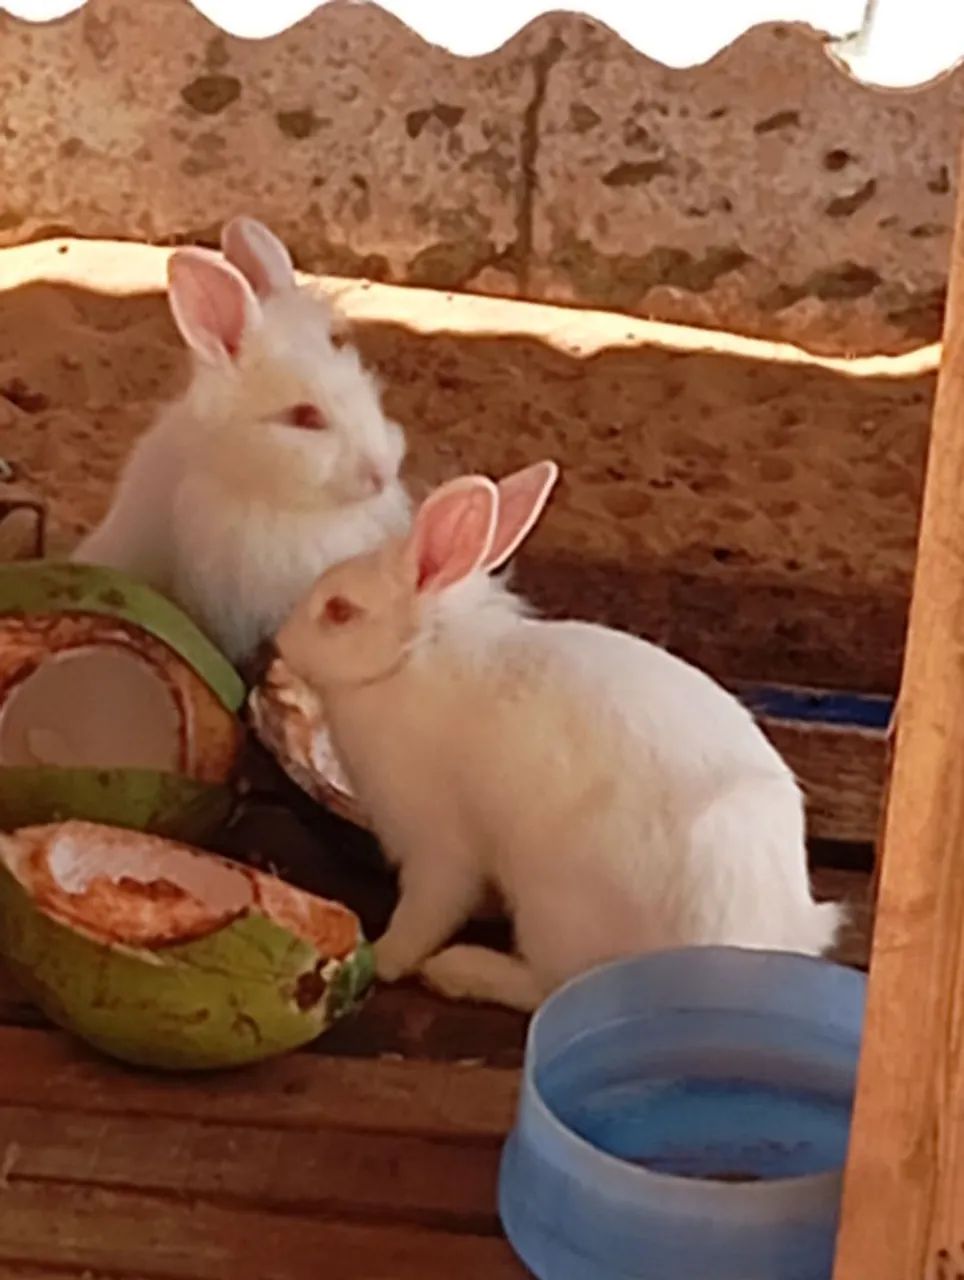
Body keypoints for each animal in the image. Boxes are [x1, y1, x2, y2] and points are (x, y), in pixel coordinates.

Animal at [274, 462, 842, 1012]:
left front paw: (383, 956)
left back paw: (461, 970)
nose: (279, 640)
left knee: (550, 985)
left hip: (553, 906)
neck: (406, 659)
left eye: (339, 611)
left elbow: (426, 912)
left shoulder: (438, 845)